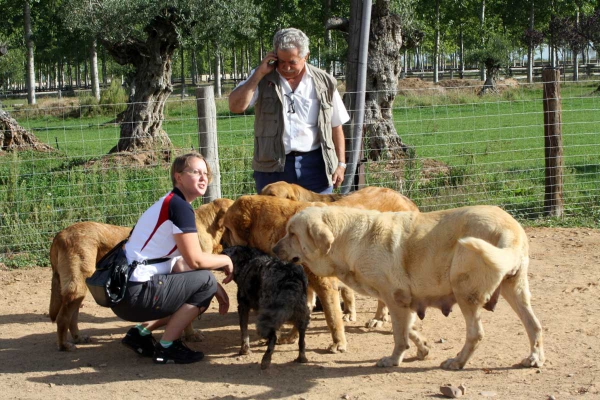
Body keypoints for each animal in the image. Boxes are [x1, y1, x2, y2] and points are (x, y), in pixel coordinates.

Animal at [49, 198, 233, 352]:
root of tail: (60, 235)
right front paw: (191, 335)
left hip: (78, 290)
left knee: (72, 317)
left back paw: (78, 338)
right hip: (77, 286)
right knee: (62, 318)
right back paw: (64, 345)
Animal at [274, 205, 548, 370]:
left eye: (292, 234)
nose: (274, 249)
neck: (348, 238)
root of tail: (509, 227)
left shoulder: (394, 299)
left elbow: (399, 336)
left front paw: (394, 359)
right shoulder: (405, 301)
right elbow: (410, 330)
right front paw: (423, 348)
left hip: (464, 292)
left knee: (476, 334)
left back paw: (457, 362)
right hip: (515, 290)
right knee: (534, 325)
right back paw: (535, 358)